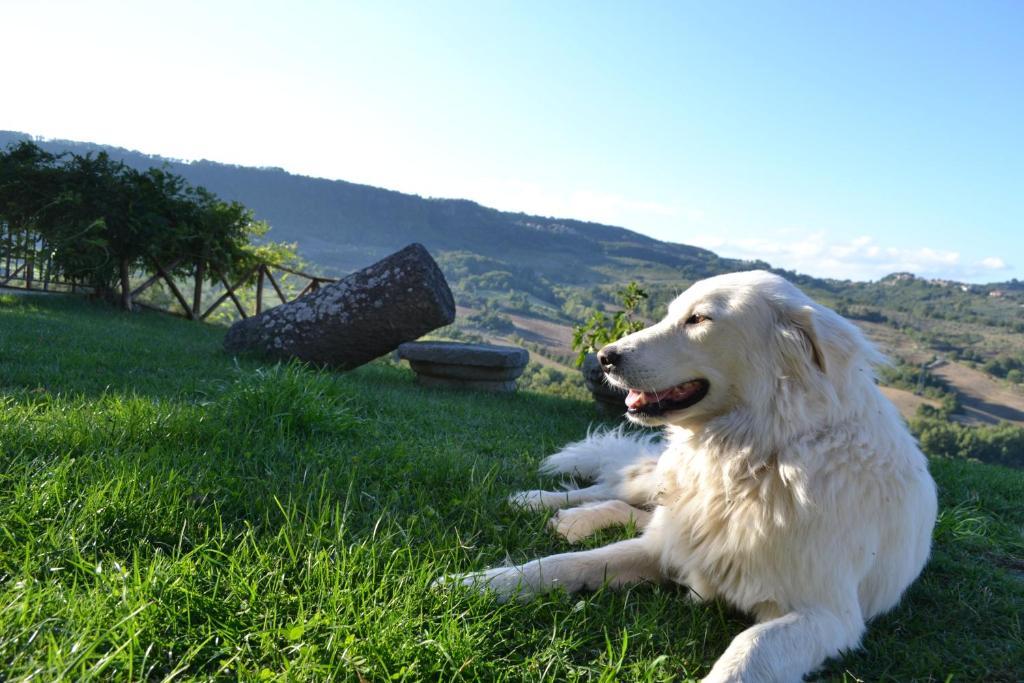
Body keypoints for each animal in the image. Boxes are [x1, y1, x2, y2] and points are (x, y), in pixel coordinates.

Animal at [436, 272, 937, 683]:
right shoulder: (665, 546)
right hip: (662, 483)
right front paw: (475, 584)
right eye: (671, 313)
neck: (752, 461)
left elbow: (750, 649)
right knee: (613, 488)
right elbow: (559, 566)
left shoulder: (828, 615)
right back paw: (540, 504)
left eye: (698, 319)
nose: (604, 356)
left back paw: (573, 522)